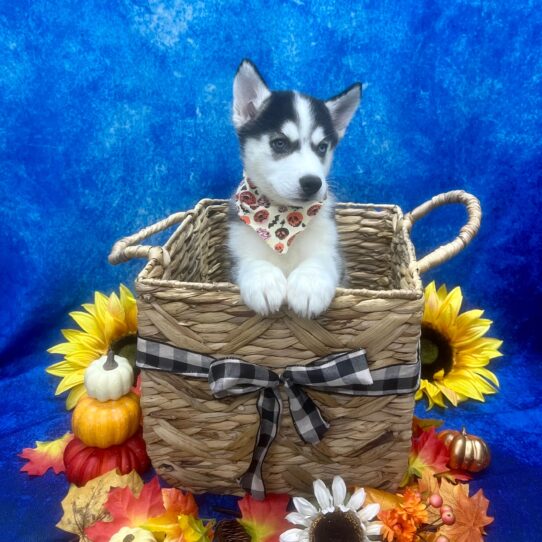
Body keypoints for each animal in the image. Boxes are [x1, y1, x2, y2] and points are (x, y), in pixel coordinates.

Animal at [227, 60, 364, 318]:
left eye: (322, 147)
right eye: (279, 143)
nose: (313, 183)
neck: (284, 220)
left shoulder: (332, 250)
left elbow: (321, 260)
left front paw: (310, 284)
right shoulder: (237, 251)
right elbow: (251, 261)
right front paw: (263, 280)